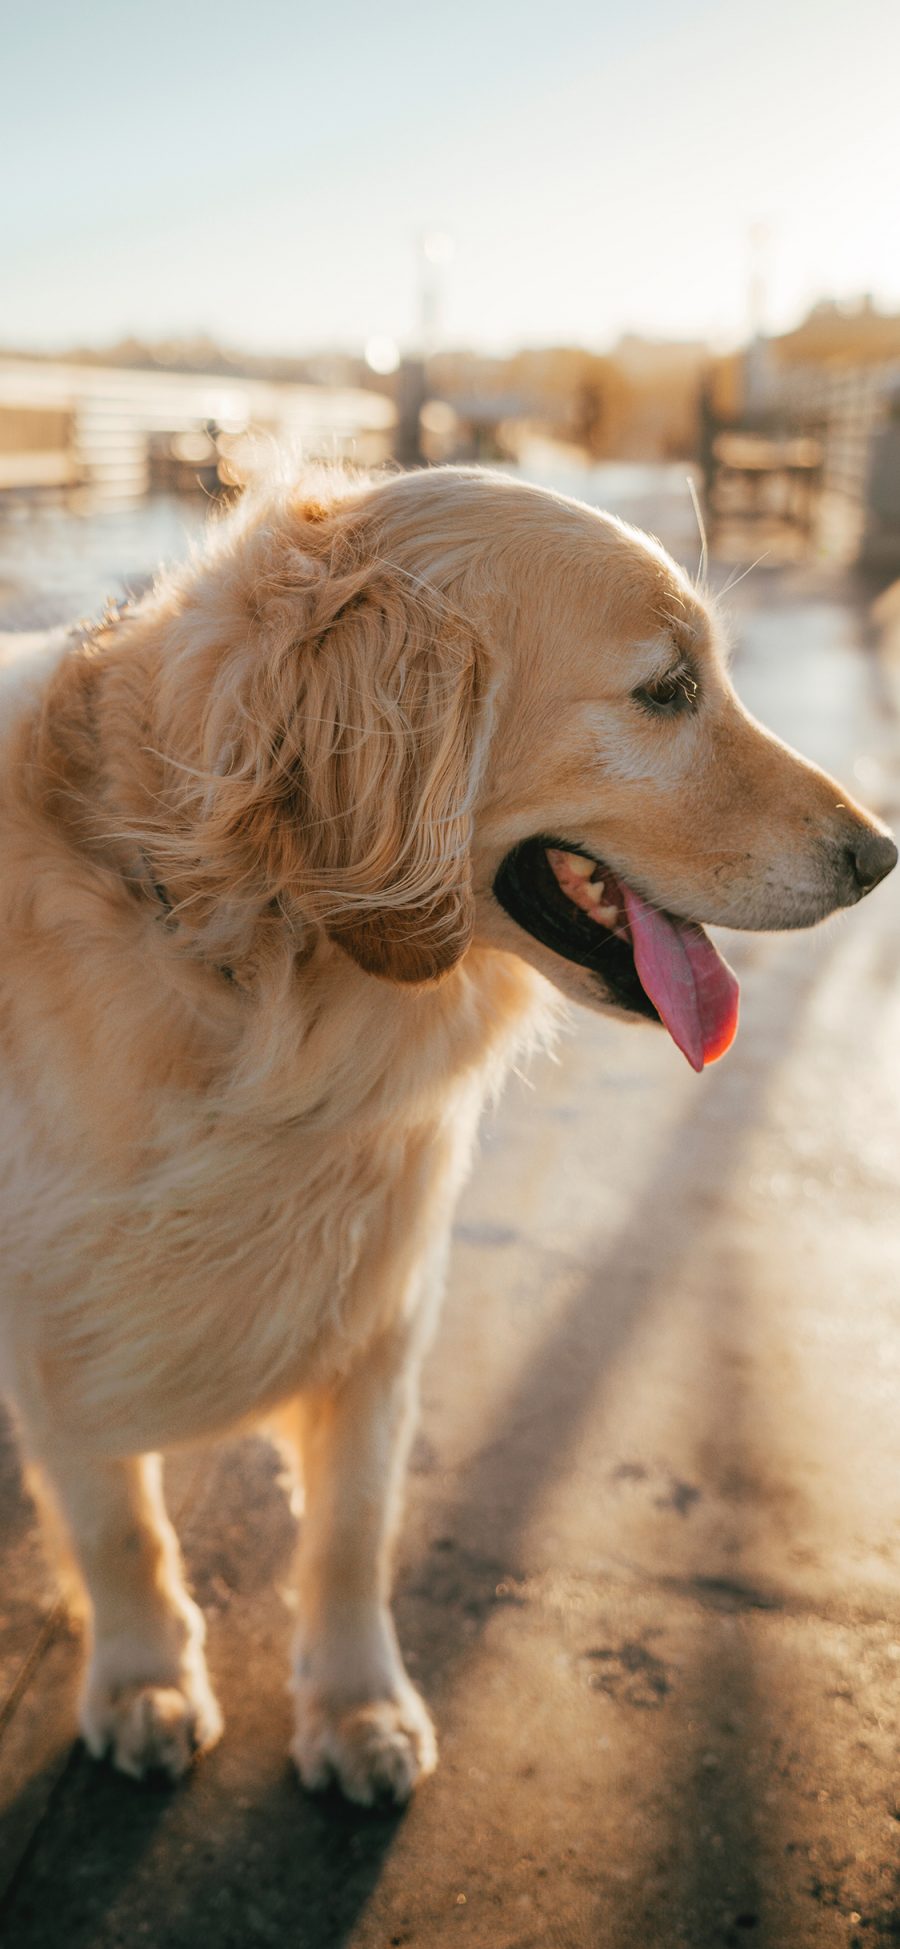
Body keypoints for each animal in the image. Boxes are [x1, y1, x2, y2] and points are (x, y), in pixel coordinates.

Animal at [0, 463, 896, 1800]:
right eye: (667, 690)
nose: (882, 853)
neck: (252, 977)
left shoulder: (381, 1305)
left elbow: (352, 1528)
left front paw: (357, 1703)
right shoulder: (57, 1323)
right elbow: (117, 1525)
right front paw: (145, 1675)